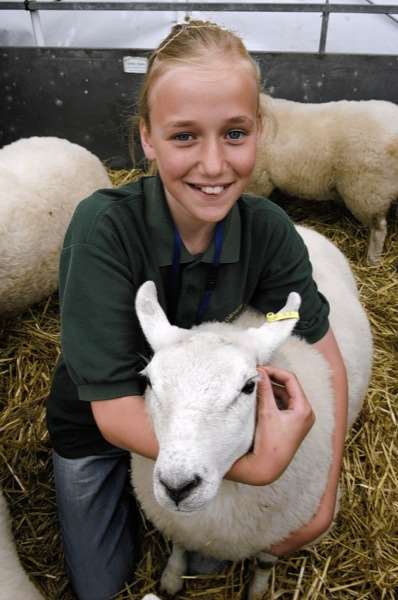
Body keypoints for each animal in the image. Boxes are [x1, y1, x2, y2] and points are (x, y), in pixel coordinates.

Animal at [132, 225, 372, 600]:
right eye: (150, 382)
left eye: (248, 387)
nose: (177, 486)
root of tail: (303, 226)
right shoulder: (175, 521)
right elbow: (179, 546)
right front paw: (171, 579)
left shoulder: (282, 530)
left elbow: (263, 562)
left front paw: (257, 591)